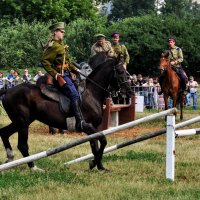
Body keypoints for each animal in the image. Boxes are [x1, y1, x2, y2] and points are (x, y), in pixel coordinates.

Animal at [0, 53, 133, 172]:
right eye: (120, 71)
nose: (130, 91)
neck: (92, 93)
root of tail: (7, 91)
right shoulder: (88, 127)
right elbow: (103, 141)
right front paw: (93, 163)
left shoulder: (93, 128)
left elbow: (95, 146)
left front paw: (99, 167)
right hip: (22, 123)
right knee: (22, 145)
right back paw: (33, 167)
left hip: (21, 122)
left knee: (4, 133)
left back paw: (10, 158)